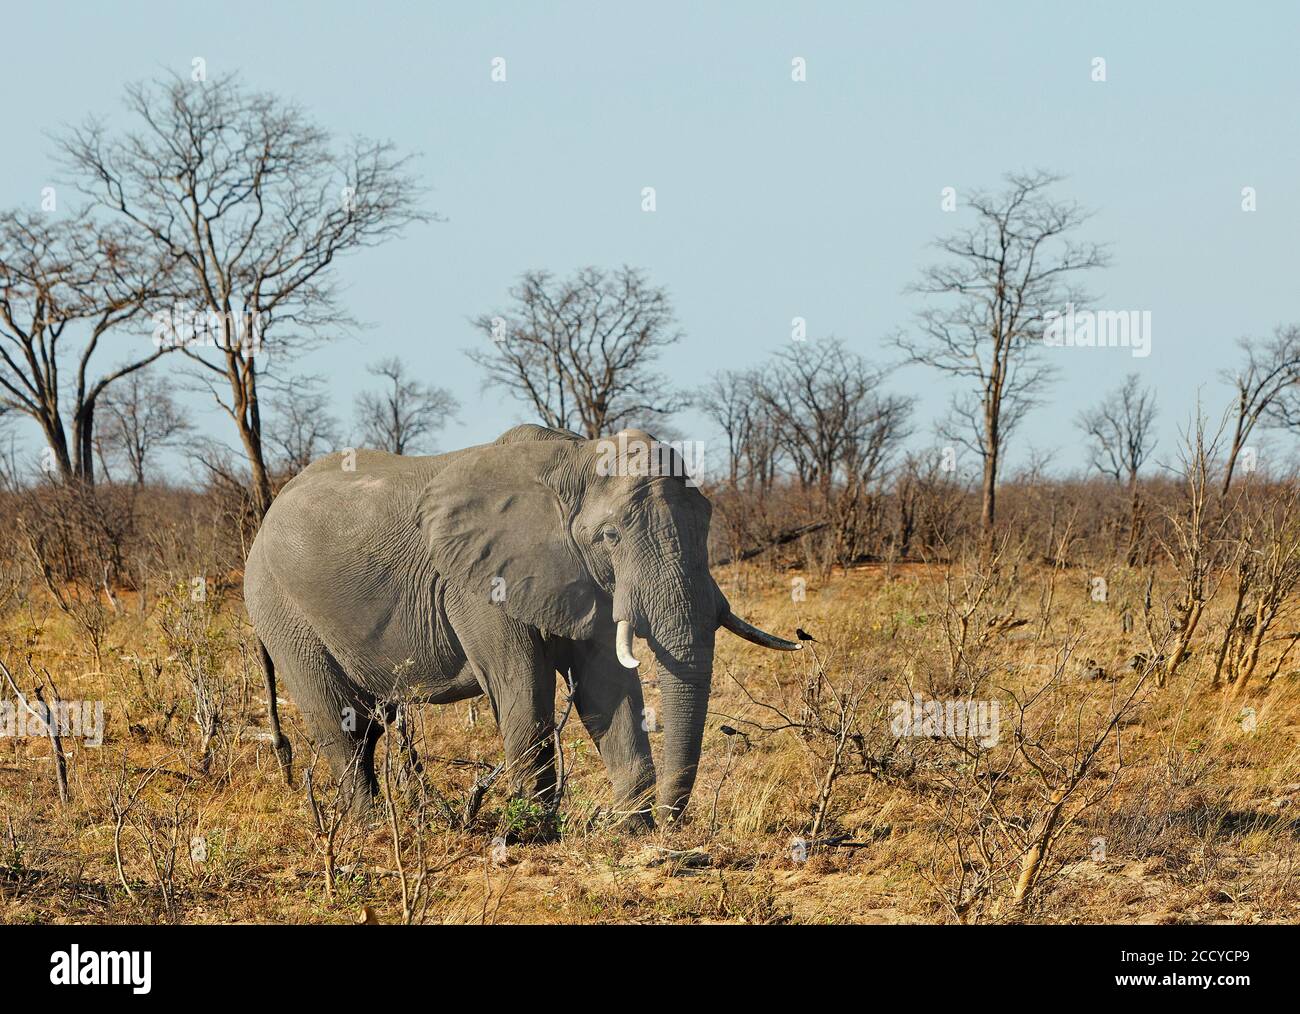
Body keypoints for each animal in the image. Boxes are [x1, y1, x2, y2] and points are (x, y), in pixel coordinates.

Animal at [243, 423, 800, 826]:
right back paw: (370, 827)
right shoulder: (478, 584)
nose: (670, 825)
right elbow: (524, 690)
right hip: (279, 606)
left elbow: (607, 686)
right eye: (611, 536)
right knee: (342, 722)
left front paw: (631, 829)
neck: (572, 460)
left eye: (706, 523)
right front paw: (536, 830)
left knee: (372, 723)